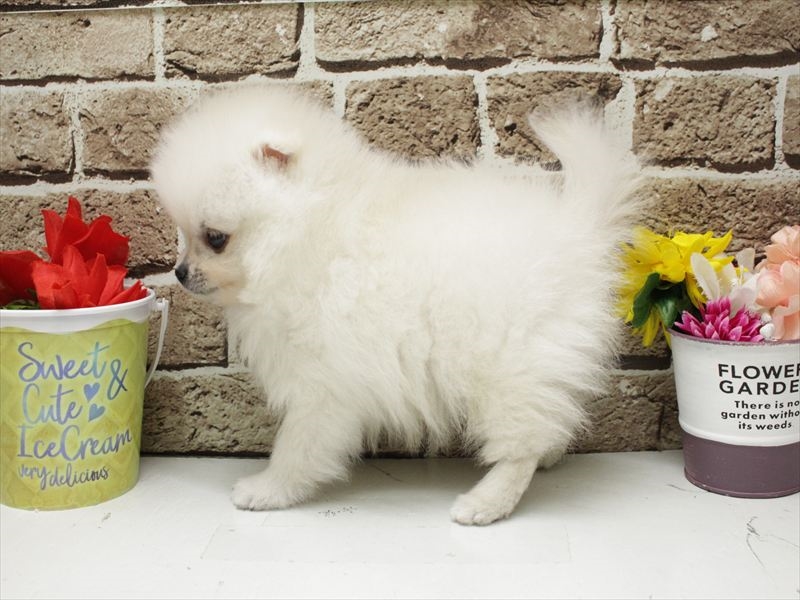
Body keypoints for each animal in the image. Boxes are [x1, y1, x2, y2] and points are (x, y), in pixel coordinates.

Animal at [150, 85, 641, 525]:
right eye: (185, 234)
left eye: (215, 238)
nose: (179, 272)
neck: (306, 230)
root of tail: (579, 229)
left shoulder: (320, 379)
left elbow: (298, 444)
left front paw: (269, 489)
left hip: (509, 365)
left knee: (519, 446)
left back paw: (485, 503)